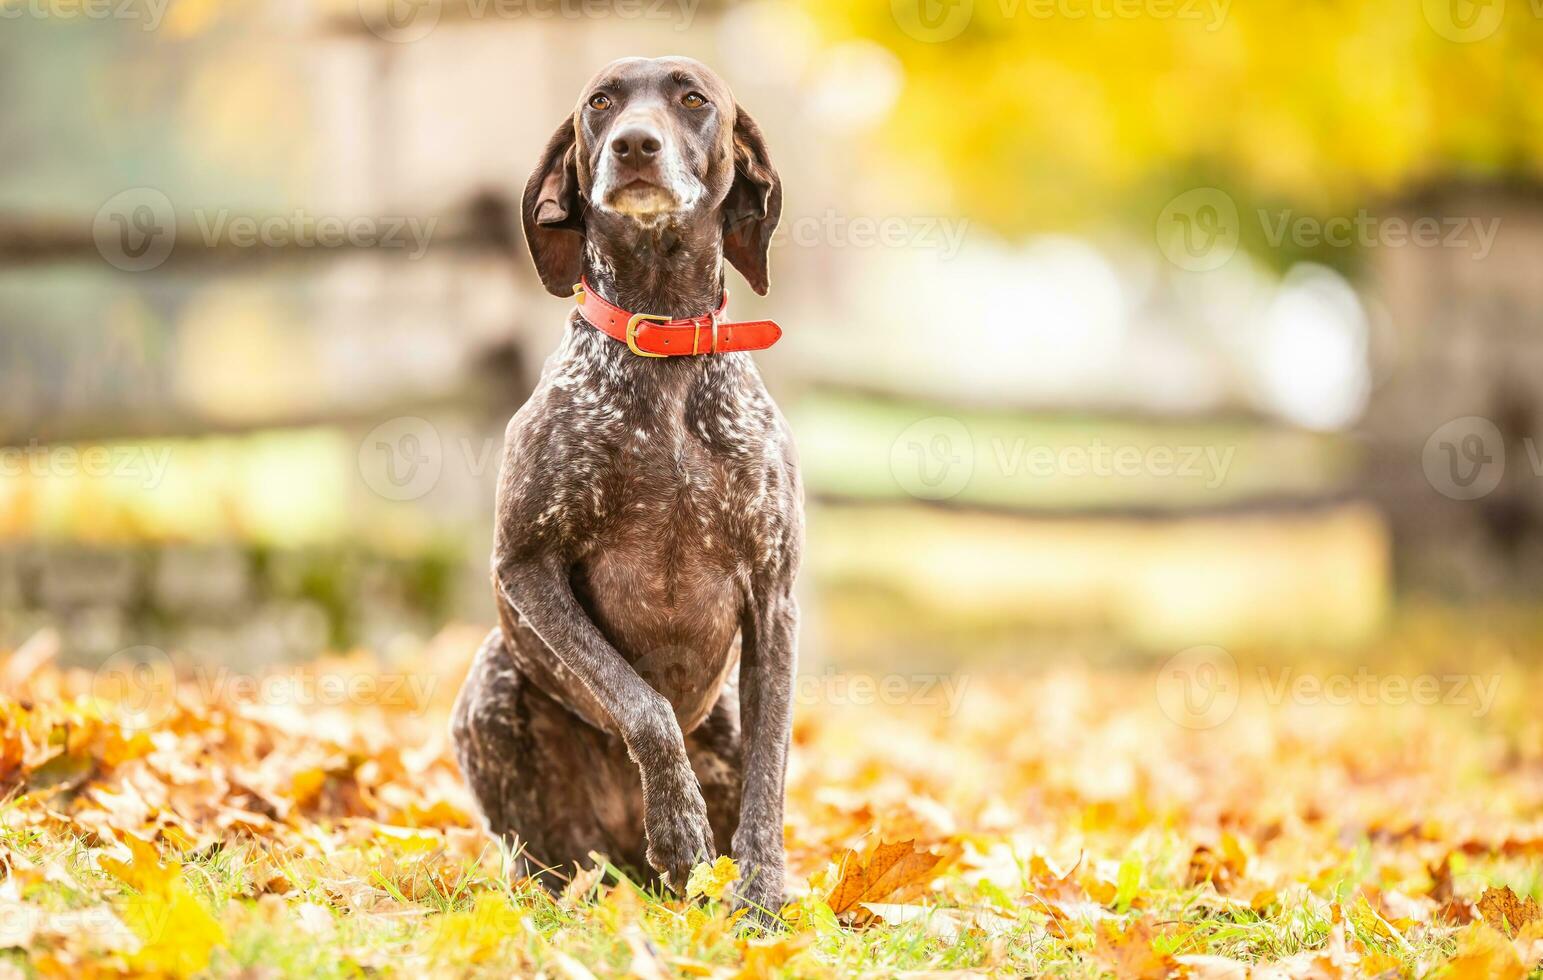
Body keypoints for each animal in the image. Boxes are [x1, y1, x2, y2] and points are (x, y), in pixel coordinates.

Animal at [447, 55, 802, 919]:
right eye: (600, 102)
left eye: (693, 99)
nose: (634, 145)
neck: (664, 341)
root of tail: (620, 870)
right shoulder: (526, 569)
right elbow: (641, 705)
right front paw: (676, 826)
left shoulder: (774, 597)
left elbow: (770, 768)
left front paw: (763, 893)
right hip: (494, 683)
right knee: (549, 861)